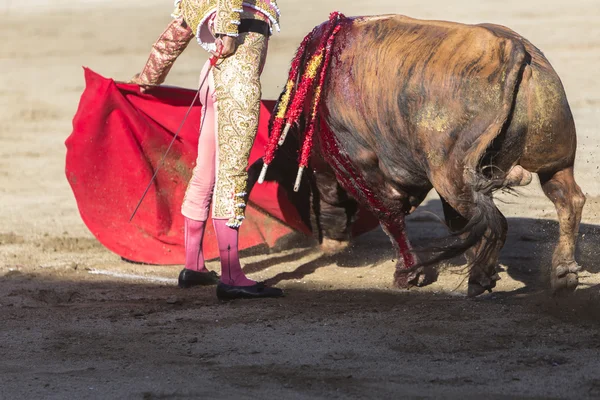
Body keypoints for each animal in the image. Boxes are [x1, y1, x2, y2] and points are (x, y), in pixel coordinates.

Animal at [246, 13, 584, 296]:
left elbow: (390, 215)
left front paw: (408, 275)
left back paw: (480, 280)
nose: (329, 241)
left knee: (494, 220)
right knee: (566, 199)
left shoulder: (359, 164)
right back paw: (563, 272)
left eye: (304, 184)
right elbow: (458, 225)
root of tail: (514, 50)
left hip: (453, 176)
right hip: (553, 161)